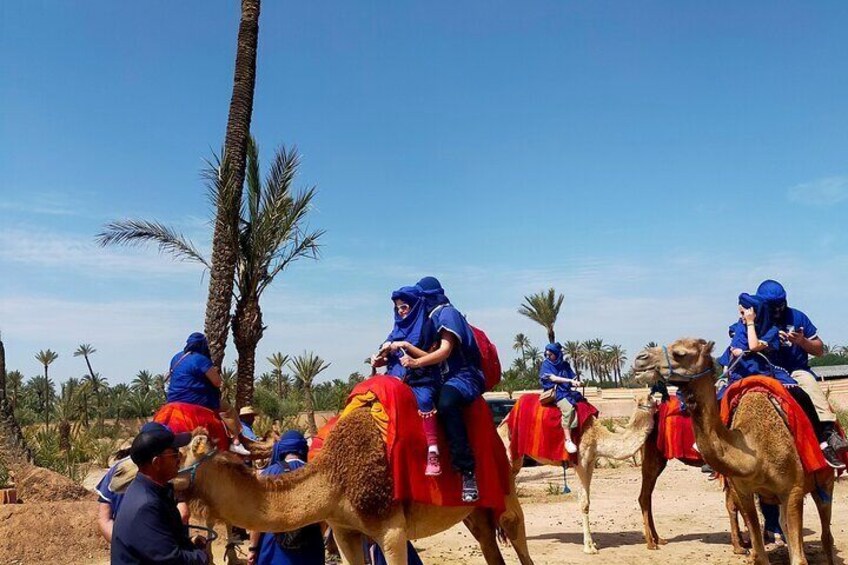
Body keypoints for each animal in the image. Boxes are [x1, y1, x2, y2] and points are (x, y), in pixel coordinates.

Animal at [176, 406, 536, 564]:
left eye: (181, 455)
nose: (173, 481)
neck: (334, 479)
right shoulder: (343, 529)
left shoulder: (391, 531)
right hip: (474, 512)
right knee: (490, 546)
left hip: (506, 495)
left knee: (519, 542)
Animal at [496, 394, 656, 552]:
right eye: (650, 397)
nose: (658, 400)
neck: (597, 436)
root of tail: (500, 426)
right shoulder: (581, 461)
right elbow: (584, 503)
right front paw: (589, 547)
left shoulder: (591, 462)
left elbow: (588, 501)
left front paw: (593, 544)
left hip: (515, 461)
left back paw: (505, 541)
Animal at [628, 338, 836, 564]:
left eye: (680, 353)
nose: (640, 359)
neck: (755, 450)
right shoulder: (741, 487)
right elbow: (756, 544)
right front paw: (744, 547)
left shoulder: (793, 490)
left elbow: (797, 557)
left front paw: (742, 546)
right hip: (654, 455)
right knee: (645, 495)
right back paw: (654, 541)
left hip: (825, 481)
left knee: (825, 534)